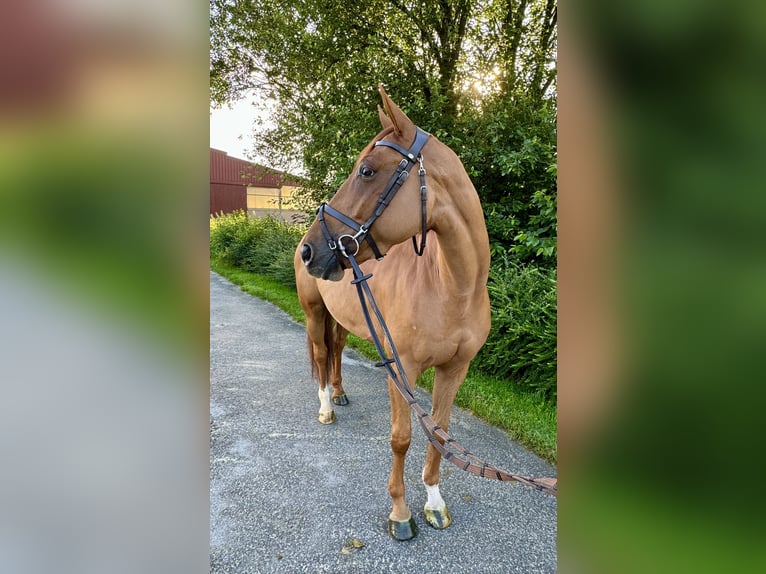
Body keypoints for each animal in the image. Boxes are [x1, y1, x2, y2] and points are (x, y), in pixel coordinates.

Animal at [294, 84, 492, 540]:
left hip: (344, 320)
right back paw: (326, 407)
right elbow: (401, 438)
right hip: (313, 313)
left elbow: (440, 433)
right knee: (320, 354)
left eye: (367, 171)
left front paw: (434, 502)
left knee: (335, 350)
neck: (452, 288)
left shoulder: (455, 369)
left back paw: (340, 392)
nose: (311, 250)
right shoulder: (402, 370)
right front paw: (400, 513)